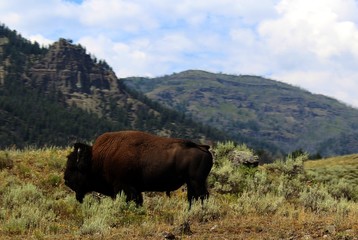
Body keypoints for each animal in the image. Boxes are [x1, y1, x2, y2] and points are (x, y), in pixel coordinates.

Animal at [63, 130, 213, 207]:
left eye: (73, 168)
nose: (66, 180)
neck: (96, 158)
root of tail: (203, 148)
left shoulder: (124, 187)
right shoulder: (134, 188)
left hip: (196, 181)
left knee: (202, 196)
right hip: (191, 183)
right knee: (193, 197)